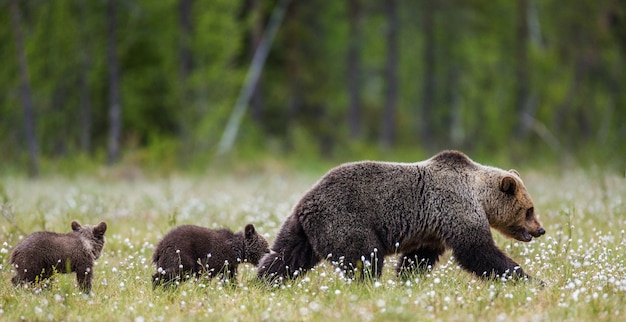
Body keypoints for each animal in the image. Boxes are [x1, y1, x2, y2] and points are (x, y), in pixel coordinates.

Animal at [256, 150, 544, 282]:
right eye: (529, 209)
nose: (540, 229)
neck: (479, 196)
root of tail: (306, 202)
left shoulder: (432, 229)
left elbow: (418, 257)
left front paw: (406, 278)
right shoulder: (455, 208)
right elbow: (478, 251)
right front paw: (531, 279)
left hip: (301, 229)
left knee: (284, 256)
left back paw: (264, 282)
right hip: (344, 220)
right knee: (365, 257)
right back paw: (367, 284)